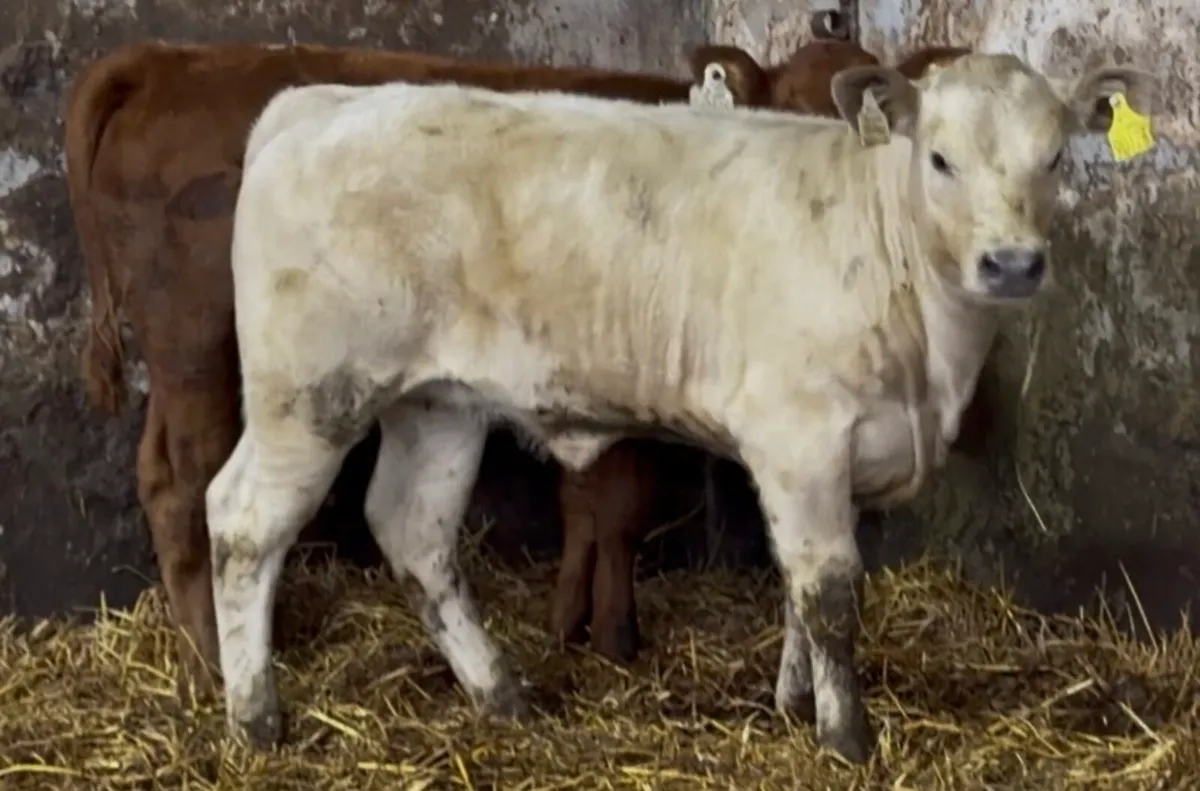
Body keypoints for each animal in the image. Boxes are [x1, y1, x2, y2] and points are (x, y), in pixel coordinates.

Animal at [64, 37, 886, 695]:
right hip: (205, 352)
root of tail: (165, 60)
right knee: (188, 485)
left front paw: (573, 625)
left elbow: (594, 504)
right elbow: (619, 504)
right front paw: (613, 637)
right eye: (795, 107)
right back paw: (212, 660)